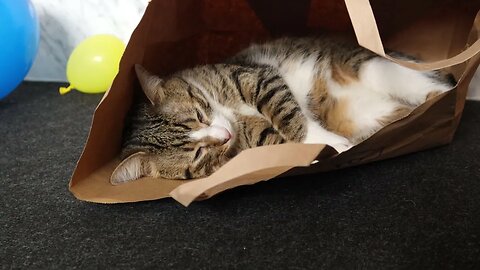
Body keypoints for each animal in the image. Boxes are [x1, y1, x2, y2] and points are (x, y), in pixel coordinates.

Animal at [110, 36, 456, 184]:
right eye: (197, 154)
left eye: (199, 114)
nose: (224, 135)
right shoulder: (252, 143)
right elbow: (272, 138)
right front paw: (330, 147)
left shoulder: (256, 76)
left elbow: (286, 111)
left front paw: (331, 143)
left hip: (373, 67)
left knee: (423, 82)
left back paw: (444, 94)